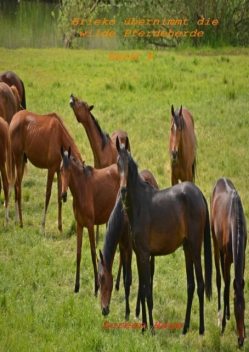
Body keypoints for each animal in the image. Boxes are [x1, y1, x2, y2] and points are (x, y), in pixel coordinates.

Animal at [59, 147, 119, 296]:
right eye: (61, 169)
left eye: (69, 170)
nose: (63, 195)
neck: (82, 189)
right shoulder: (80, 225)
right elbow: (78, 253)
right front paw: (76, 286)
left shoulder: (91, 226)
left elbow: (92, 253)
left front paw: (96, 287)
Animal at [98, 169, 159, 320]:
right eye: (98, 280)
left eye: (103, 279)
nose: (104, 309)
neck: (122, 217)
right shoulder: (122, 246)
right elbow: (127, 275)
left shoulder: (130, 248)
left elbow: (128, 279)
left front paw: (128, 312)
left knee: (150, 271)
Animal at [115, 136, 211, 334]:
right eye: (117, 163)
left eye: (129, 164)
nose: (123, 191)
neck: (139, 205)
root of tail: (199, 194)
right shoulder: (139, 254)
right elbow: (143, 288)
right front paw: (143, 327)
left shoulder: (145, 255)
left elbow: (147, 292)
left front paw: (151, 329)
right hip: (187, 249)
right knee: (191, 285)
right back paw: (185, 327)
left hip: (195, 248)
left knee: (200, 284)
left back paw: (201, 329)